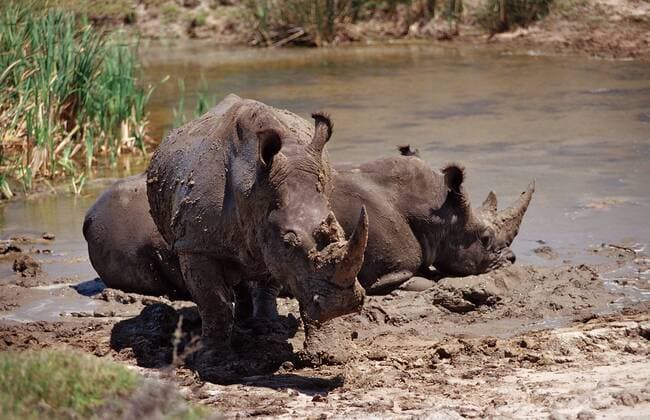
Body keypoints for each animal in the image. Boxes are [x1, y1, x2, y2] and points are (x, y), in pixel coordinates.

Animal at [85, 94, 370, 355]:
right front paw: (214, 357)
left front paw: (328, 355)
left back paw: (265, 324)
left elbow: (301, 284)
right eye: (288, 242)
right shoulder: (195, 244)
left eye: (340, 232)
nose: (343, 304)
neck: (252, 185)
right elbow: (214, 300)